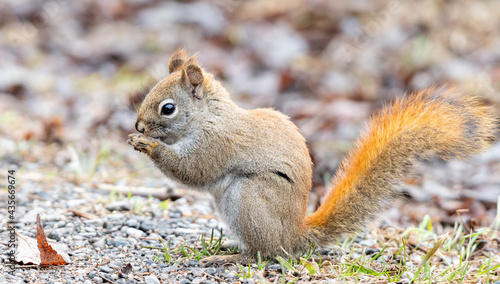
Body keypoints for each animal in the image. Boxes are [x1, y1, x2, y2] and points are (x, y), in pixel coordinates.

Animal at [128, 48, 496, 264]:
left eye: (168, 108)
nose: (138, 125)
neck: (208, 116)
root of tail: (295, 236)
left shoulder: (217, 142)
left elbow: (194, 170)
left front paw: (148, 146)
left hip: (248, 198)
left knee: (266, 253)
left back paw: (233, 258)